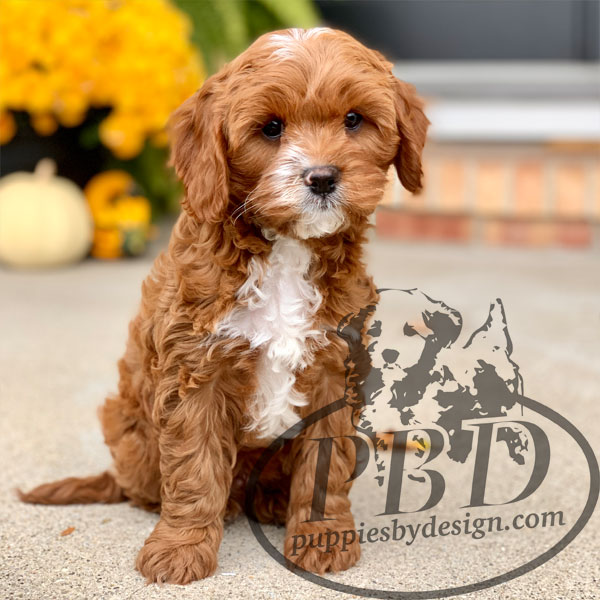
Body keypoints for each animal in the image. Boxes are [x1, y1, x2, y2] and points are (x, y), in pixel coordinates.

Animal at [19, 27, 428, 584]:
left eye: (354, 120)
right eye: (271, 128)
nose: (322, 177)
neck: (286, 251)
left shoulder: (336, 369)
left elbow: (326, 459)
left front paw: (321, 536)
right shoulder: (194, 369)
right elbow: (193, 467)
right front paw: (180, 548)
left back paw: (274, 502)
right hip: (128, 430)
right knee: (150, 486)